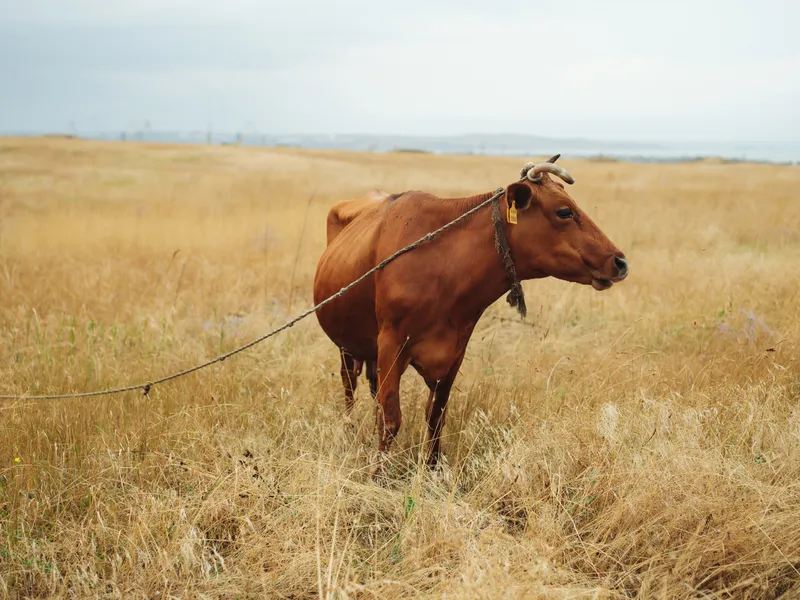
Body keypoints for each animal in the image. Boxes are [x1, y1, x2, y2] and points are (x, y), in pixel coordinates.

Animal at [313, 155, 628, 472]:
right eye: (564, 211)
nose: (620, 261)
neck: (441, 265)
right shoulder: (391, 344)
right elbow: (390, 419)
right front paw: (378, 474)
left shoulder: (454, 352)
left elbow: (435, 416)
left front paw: (433, 469)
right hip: (346, 347)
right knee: (349, 384)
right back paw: (349, 429)